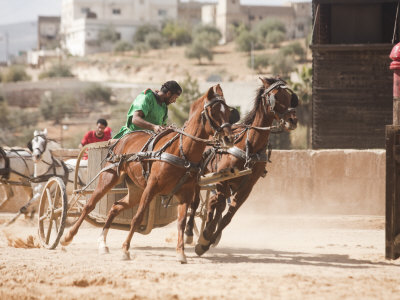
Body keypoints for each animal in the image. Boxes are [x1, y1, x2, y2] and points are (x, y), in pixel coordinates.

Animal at [59, 84, 234, 262]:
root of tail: (122, 140)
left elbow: (182, 221)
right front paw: (125, 249)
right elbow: (137, 217)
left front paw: (181, 252)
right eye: (213, 111)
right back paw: (67, 237)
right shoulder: (152, 187)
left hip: (136, 190)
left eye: (228, 111)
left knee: (115, 207)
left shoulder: (185, 192)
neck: (181, 151)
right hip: (109, 177)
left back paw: (102, 243)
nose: (229, 138)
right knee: (89, 205)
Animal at [186, 78, 298, 255]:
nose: (293, 120)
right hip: (199, 175)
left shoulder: (247, 187)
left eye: (290, 97)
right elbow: (218, 208)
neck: (249, 146)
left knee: (212, 203)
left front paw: (206, 241)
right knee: (196, 201)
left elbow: (227, 217)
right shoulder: (222, 180)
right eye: (275, 97)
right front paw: (205, 236)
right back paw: (190, 231)